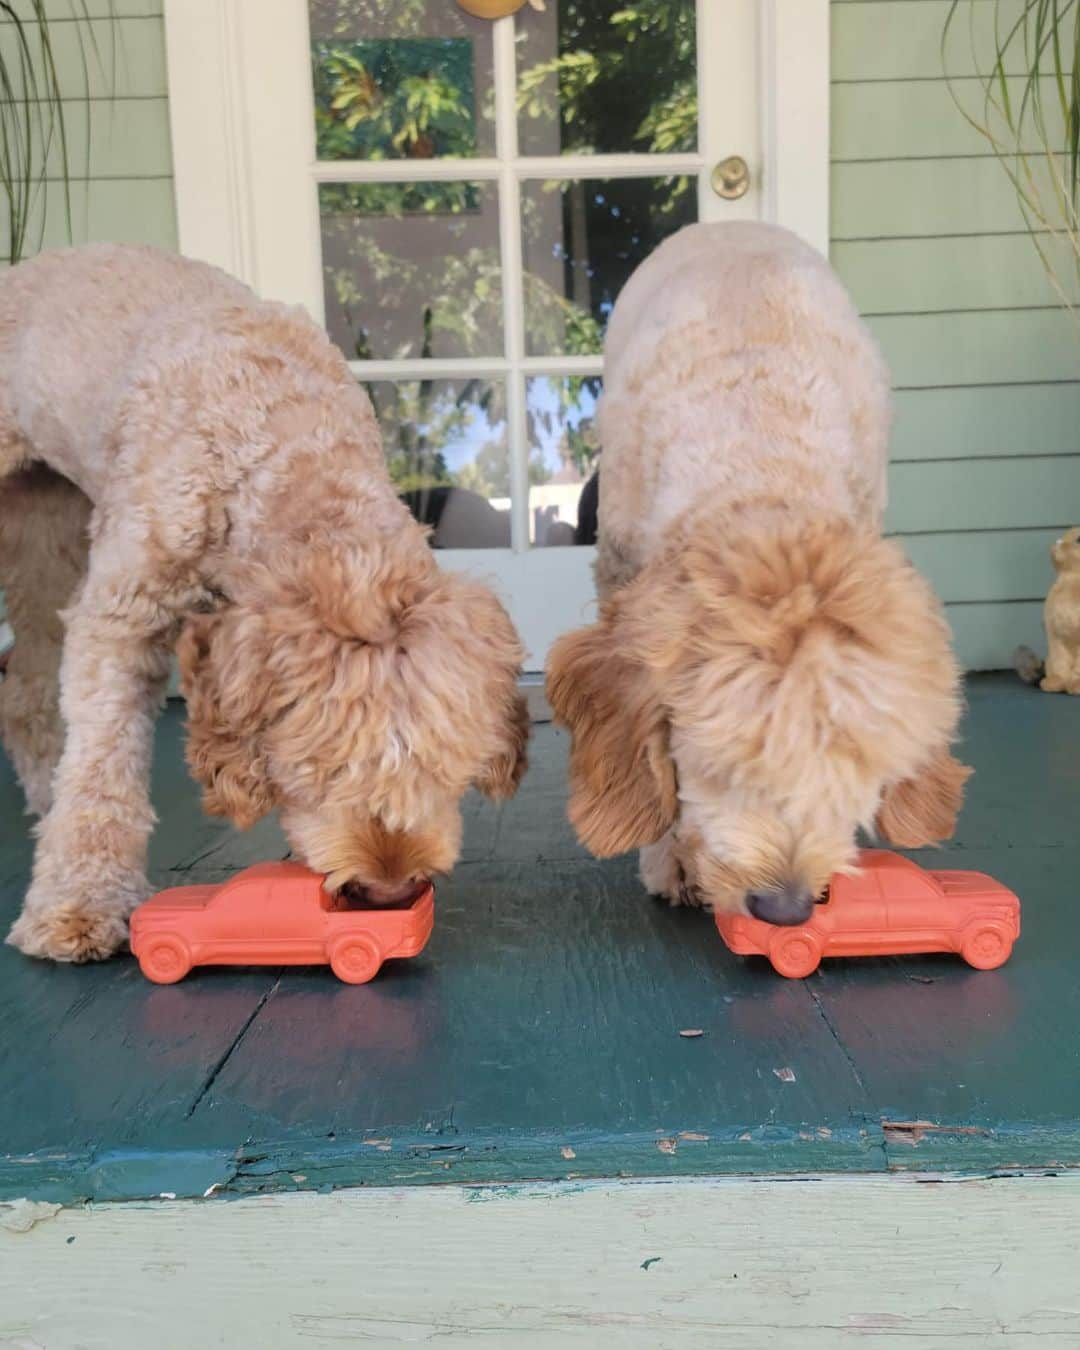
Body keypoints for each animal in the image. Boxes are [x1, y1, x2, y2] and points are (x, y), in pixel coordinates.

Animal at [0, 243, 526, 961]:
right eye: (317, 773)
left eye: (448, 770)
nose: (388, 892)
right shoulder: (121, 615)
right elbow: (103, 764)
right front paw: (79, 903)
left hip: (47, 525)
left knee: (26, 685)